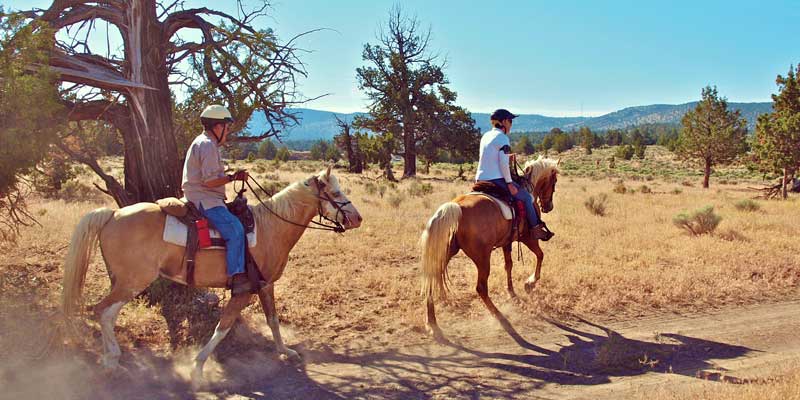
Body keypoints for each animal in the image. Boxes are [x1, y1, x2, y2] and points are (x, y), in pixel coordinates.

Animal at [61, 167, 360, 382]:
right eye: (335, 192)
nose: (357, 219)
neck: (270, 228)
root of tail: (112, 215)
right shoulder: (244, 291)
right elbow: (223, 327)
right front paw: (197, 366)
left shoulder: (266, 285)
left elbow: (273, 320)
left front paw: (285, 351)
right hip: (132, 282)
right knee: (103, 311)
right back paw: (111, 359)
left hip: (122, 281)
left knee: (105, 313)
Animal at [422, 158, 560, 340]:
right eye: (554, 181)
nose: (548, 206)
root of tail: (456, 207)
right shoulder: (528, 238)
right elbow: (540, 255)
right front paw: (530, 283)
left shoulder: (507, 242)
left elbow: (508, 265)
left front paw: (511, 291)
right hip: (482, 258)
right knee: (481, 288)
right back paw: (499, 315)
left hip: (446, 252)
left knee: (431, 278)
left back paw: (432, 323)